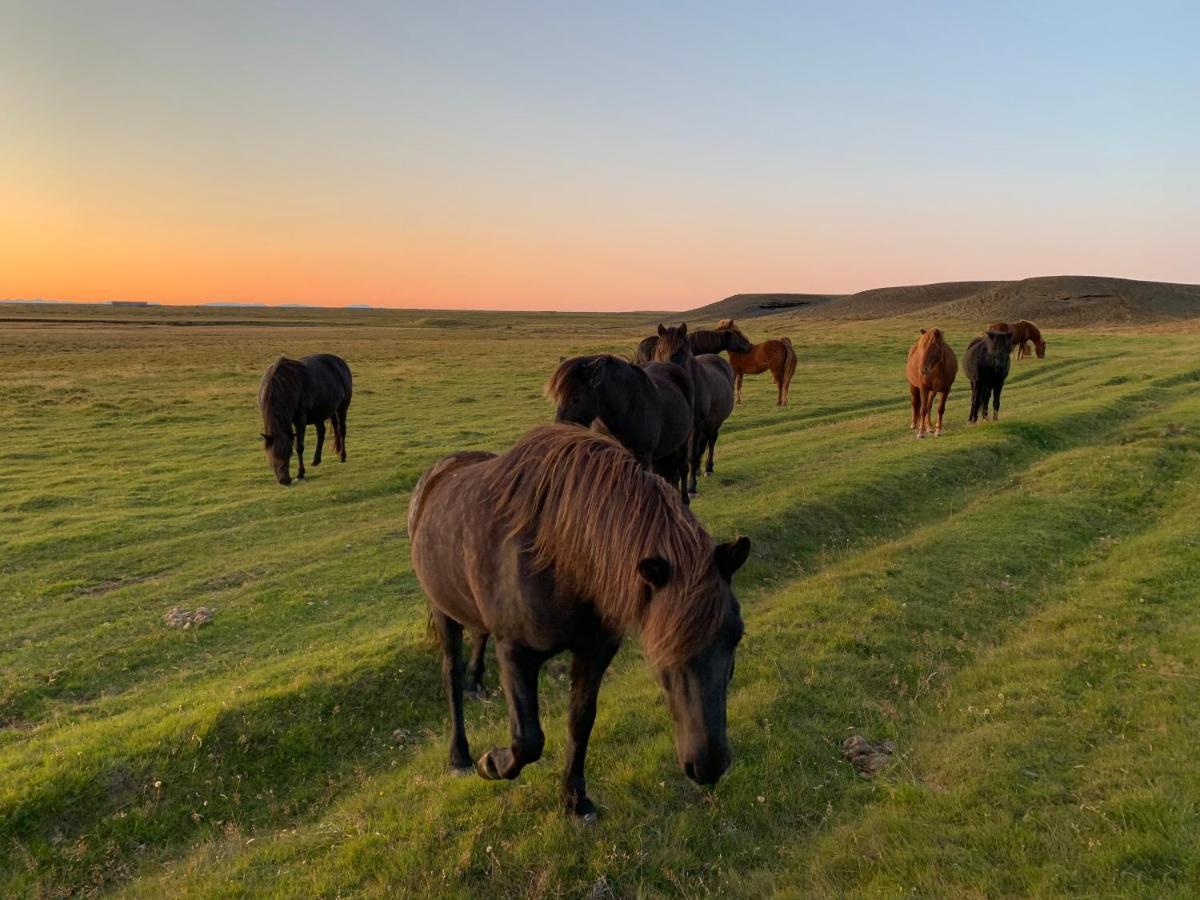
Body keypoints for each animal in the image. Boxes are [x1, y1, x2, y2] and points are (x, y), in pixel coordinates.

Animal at [258, 355, 350, 487]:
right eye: (273, 455)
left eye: (289, 455)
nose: (285, 480)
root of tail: (341, 363)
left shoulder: (300, 420)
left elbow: (299, 447)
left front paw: (300, 473)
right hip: (320, 413)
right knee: (321, 432)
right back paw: (316, 460)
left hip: (342, 408)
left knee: (341, 431)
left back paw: (342, 456)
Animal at [412, 427, 748, 820]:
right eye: (662, 645)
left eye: (736, 636)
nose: (709, 765)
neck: (559, 551)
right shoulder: (515, 653)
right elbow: (528, 740)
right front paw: (491, 763)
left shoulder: (595, 650)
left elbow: (580, 720)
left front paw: (575, 798)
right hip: (443, 612)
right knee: (450, 674)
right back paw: (460, 755)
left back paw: (475, 683)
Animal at [547, 355, 696, 504]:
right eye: (558, 398)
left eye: (575, 398)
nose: (559, 433)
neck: (627, 410)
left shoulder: (643, 458)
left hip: (683, 443)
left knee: (683, 469)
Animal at [652, 324, 734, 494]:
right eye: (660, 350)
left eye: (681, 352)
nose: (666, 373)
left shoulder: (696, 426)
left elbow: (691, 455)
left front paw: (691, 487)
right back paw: (697, 469)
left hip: (715, 422)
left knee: (711, 441)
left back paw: (708, 468)